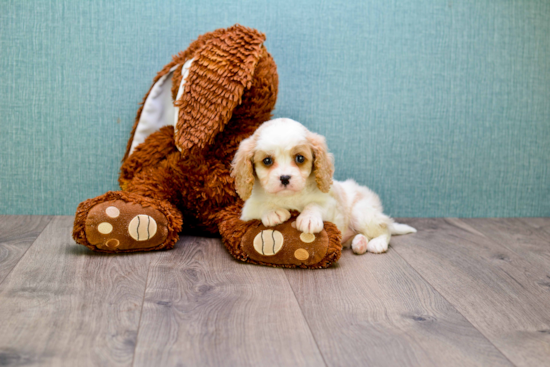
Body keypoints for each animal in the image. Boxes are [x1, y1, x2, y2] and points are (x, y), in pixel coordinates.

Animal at [231, 119, 416, 254]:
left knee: (386, 229)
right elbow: (261, 205)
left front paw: (308, 218)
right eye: (267, 161)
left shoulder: (330, 202)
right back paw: (359, 243)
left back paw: (377, 243)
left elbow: (315, 204)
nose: (284, 178)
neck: (289, 197)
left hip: (362, 213)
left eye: (300, 158)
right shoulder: (247, 211)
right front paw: (273, 211)